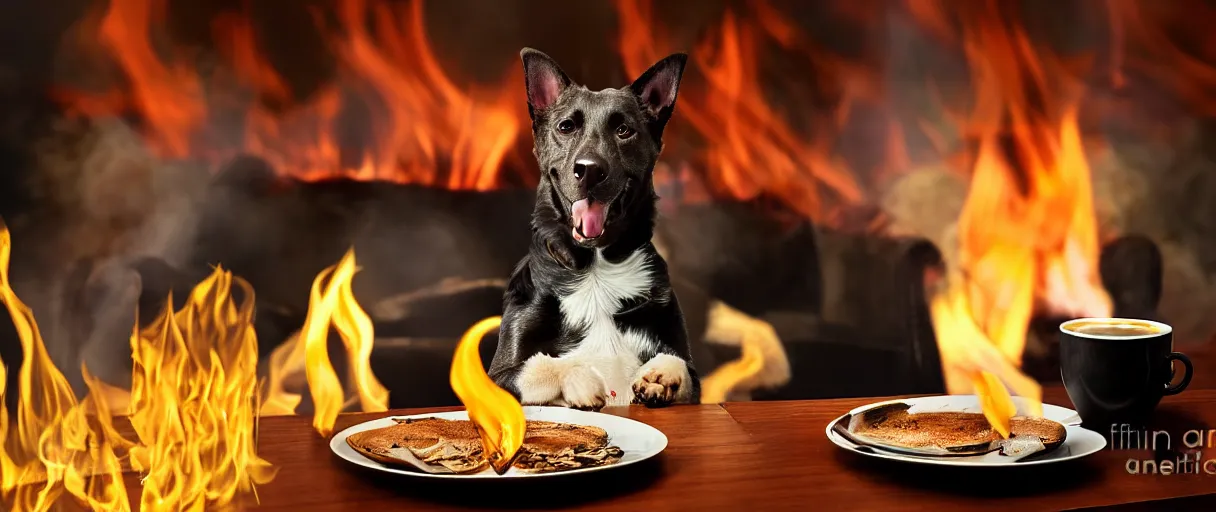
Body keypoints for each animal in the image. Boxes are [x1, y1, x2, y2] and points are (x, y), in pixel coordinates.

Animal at [481, 48, 695, 406]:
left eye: (624, 130)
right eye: (566, 127)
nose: (590, 170)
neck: (595, 269)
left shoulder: (689, 369)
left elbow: (680, 364)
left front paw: (661, 375)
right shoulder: (497, 376)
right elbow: (541, 365)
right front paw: (580, 378)